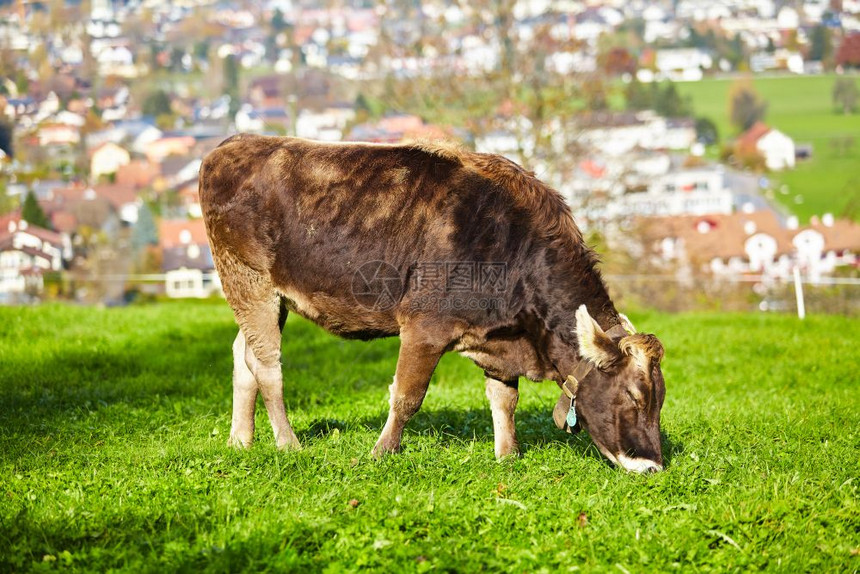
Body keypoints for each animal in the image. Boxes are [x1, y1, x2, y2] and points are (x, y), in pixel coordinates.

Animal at [200, 136, 664, 476]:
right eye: (633, 396)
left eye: (660, 399)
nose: (653, 466)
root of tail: (234, 144)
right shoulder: (425, 327)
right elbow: (407, 396)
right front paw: (381, 453)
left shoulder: (498, 337)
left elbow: (504, 399)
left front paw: (507, 456)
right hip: (248, 279)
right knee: (267, 365)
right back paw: (288, 443)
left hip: (265, 293)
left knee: (242, 355)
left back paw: (240, 440)